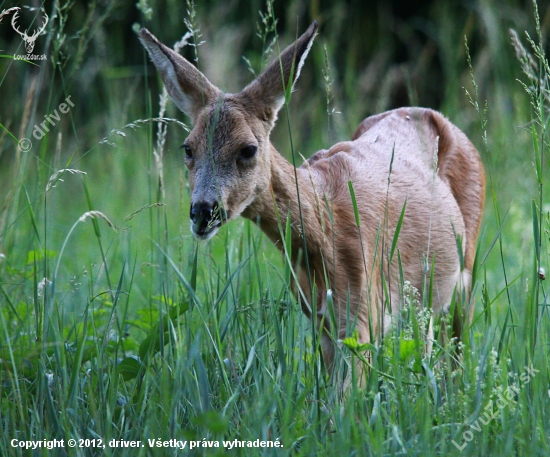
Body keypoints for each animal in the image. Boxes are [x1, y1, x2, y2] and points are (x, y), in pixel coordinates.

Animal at [139, 21, 488, 378]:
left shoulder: (364, 312)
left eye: (248, 149)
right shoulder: (322, 321)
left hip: (464, 273)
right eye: (188, 148)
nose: (202, 212)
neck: (325, 228)